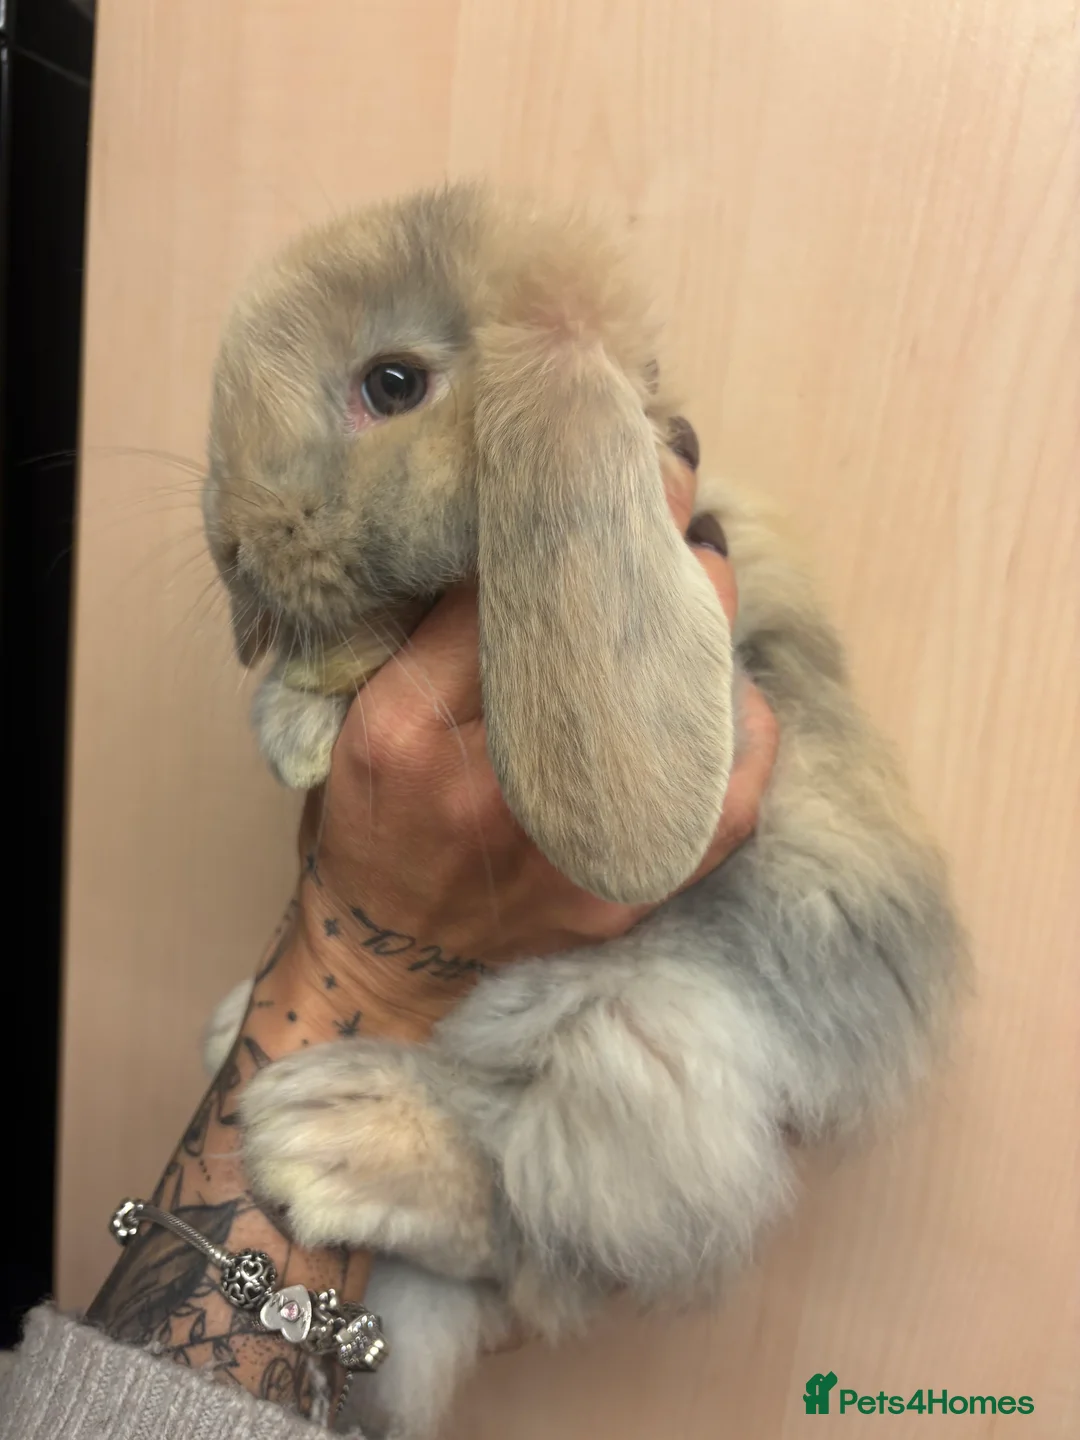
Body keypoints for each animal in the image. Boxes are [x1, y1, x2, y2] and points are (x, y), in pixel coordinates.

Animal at [201, 182, 964, 1439]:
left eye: (393, 385)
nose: (231, 543)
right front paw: (295, 725)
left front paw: (300, 714)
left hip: (646, 1048)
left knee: (532, 1221)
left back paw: (330, 1135)